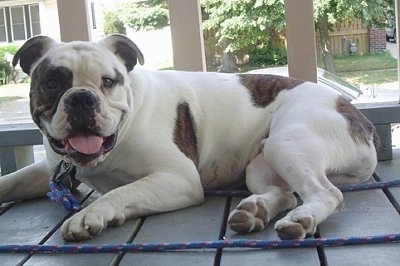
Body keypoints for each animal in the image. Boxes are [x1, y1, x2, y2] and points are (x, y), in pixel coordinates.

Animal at [0, 34, 378, 241]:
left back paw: (302, 219)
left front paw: (90, 215)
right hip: (262, 161)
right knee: (284, 193)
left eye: (109, 81)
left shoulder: (178, 178)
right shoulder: (47, 169)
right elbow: (10, 181)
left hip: (288, 143)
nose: (81, 98)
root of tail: (356, 113)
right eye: (52, 82)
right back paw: (254, 211)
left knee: (326, 193)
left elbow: (122, 191)